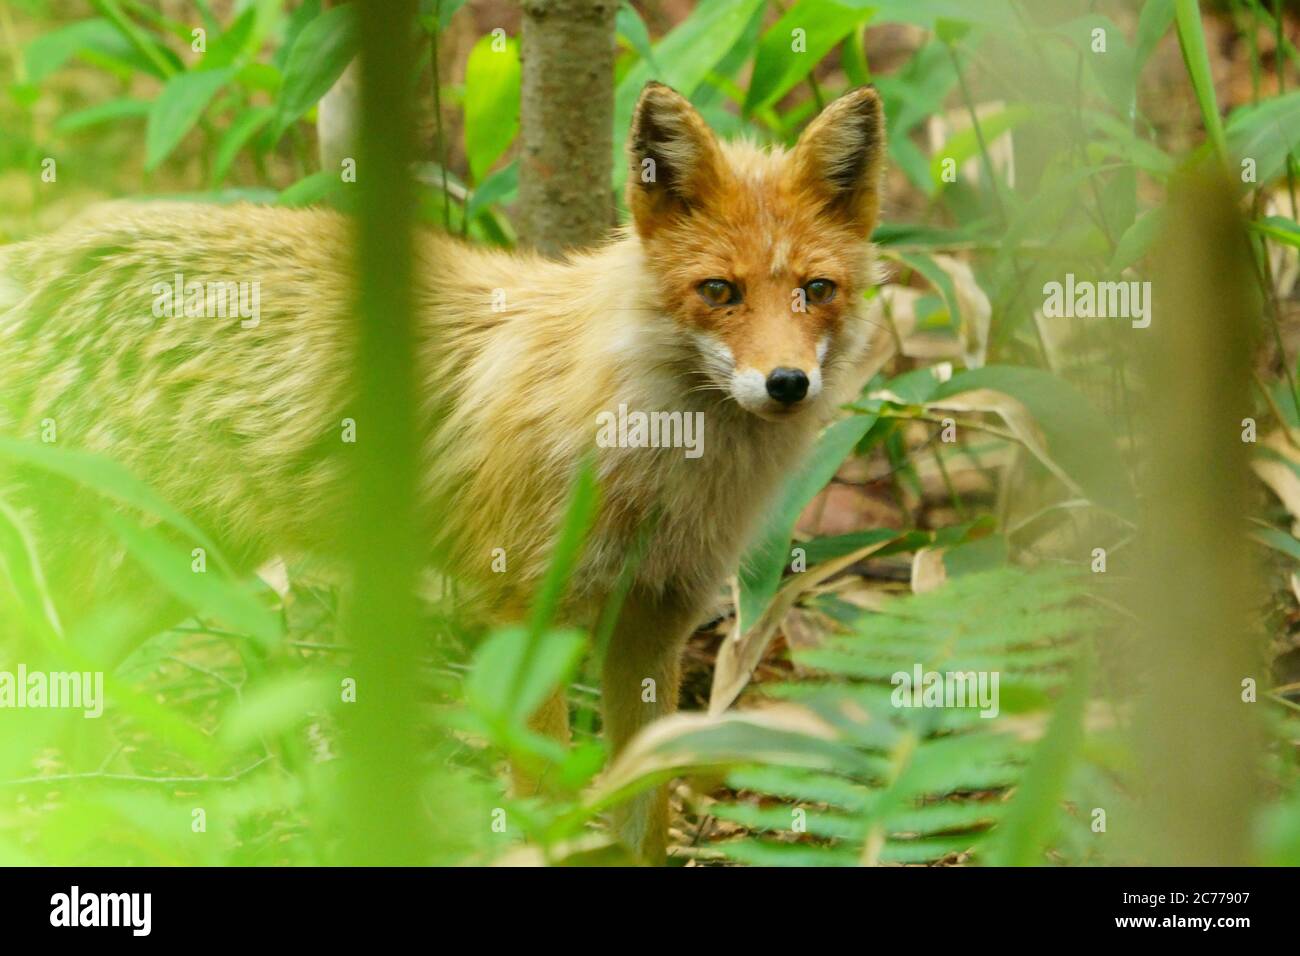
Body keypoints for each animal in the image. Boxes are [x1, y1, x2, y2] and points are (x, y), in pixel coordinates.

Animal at [0, 80, 883, 858]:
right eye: (719, 291)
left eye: (816, 290)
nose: (787, 384)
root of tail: (41, 255)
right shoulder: (528, 614)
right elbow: (547, 810)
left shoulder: (653, 625)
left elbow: (645, 821)